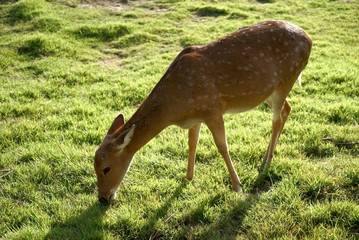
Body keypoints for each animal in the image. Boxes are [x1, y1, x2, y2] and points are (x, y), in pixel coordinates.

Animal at [95, 20, 312, 202]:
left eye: (106, 168)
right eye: (94, 166)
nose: (103, 198)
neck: (175, 107)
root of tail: (309, 39)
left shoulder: (212, 109)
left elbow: (222, 146)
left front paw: (237, 185)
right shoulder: (196, 116)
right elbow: (192, 144)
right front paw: (188, 177)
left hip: (287, 79)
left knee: (276, 120)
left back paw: (266, 165)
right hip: (268, 91)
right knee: (287, 109)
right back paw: (265, 159)